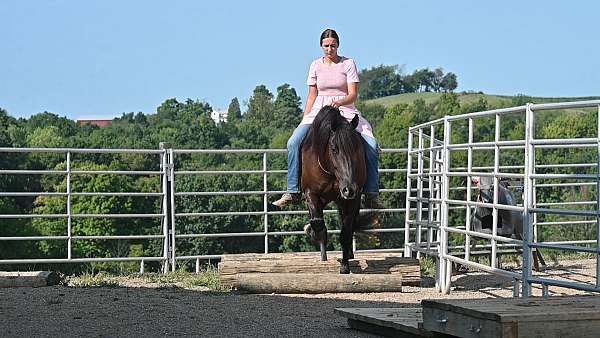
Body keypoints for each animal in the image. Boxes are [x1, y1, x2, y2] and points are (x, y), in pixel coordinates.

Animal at [300, 106, 366, 274]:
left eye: (357, 148)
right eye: (334, 148)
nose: (349, 189)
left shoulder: (352, 200)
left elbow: (346, 232)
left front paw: (345, 265)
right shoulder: (310, 193)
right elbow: (317, 223)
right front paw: (314, 234)